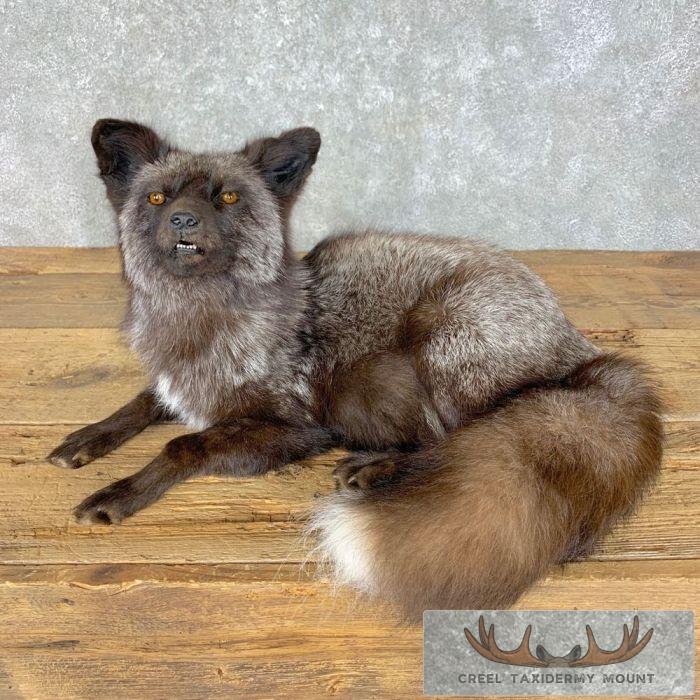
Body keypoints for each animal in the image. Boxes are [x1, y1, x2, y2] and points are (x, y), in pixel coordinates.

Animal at [48, 119, 663, 619]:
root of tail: (585, 356)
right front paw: (86, 438)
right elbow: (141, 402)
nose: (183, 219)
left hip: (441, 343)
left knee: (454, 437)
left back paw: (374, 467)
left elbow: (181, 445)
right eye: (157, 196)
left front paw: (117, 494)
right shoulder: (178, 385)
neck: (199, 323)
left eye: (227, 197)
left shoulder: (293, 429)